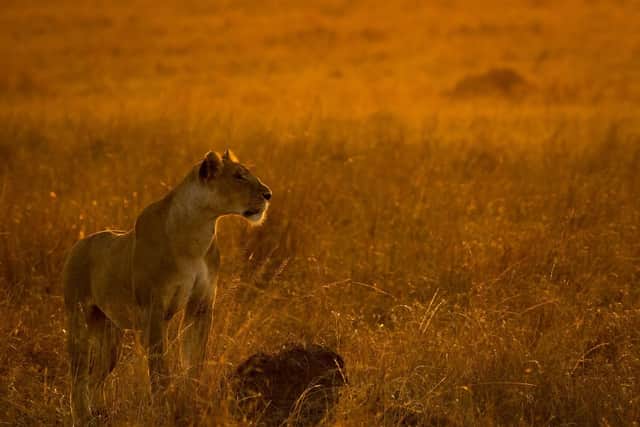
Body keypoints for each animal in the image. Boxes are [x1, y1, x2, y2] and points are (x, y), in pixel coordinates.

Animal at [62, 150, 271, 424]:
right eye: (238, 176)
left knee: (97, 376)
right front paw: (163, 407)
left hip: (110, 336)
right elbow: (160, 367)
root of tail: (79, 243)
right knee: (78, 375)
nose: (268, 194)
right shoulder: (154, 309)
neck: (197, 232)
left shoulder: (201, 306)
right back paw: (82, 415)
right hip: (78, 321)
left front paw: (191, 399)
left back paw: (100, 414)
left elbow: (194, 360)